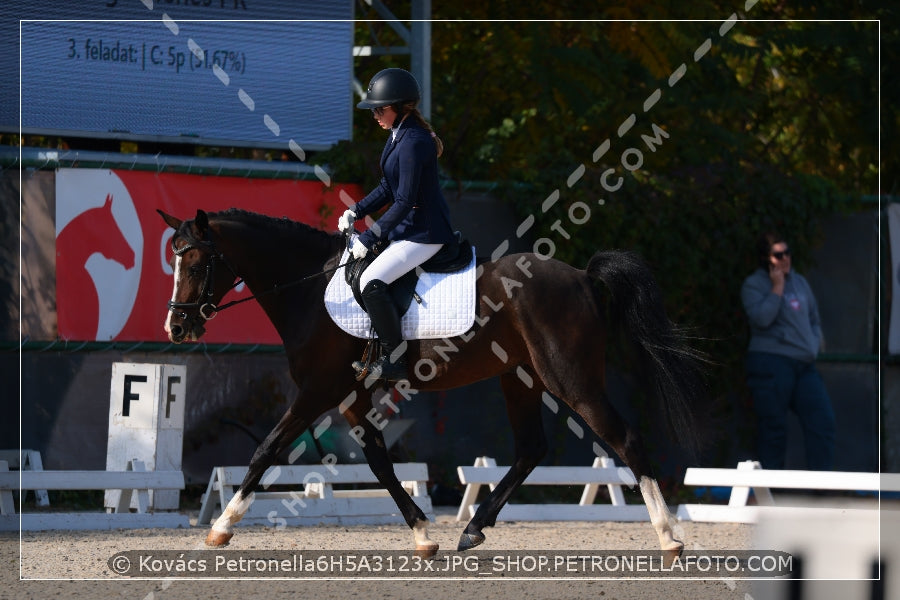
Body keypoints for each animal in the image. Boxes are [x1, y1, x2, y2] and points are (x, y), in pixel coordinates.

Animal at [160, 209, 712, 560]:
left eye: (196, 262)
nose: (177, 327)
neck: (310, 289)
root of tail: (580, 276)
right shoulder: (352, 397)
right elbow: (380, 463)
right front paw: (425, 535)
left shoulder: (318, 392)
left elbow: (266, 451)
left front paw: (221, 527)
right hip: (521, 378)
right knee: (531, 448)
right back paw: (472, 530)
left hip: (570, 378)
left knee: (625, 440)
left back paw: (669, 539)